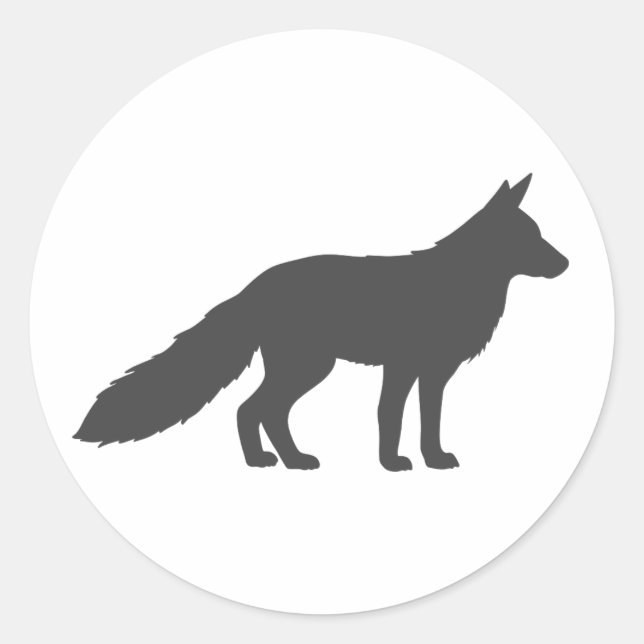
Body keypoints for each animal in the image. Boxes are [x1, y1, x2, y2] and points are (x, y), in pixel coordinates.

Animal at [75, 174, 568, 471]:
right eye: (530, 237)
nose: (566, 263)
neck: (460, 280)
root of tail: (255, 286)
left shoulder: (434, 375)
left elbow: (430, 421)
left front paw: (434, 459)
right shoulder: (402, 368)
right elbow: (390, 416)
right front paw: (391, 464)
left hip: (305, 369)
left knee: (258, 411)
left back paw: (280, 459)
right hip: (308, 368)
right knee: (256, 409)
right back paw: (279, 461)